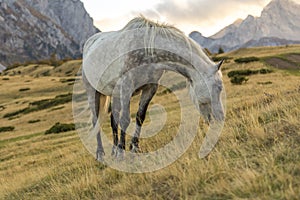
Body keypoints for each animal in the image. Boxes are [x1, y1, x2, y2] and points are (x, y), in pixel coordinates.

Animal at [81, 16, 224, 162]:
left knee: (113, 120)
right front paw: (122, 153)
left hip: (115, 94)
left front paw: (134, 148)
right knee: (95, 120)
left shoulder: (150, 88)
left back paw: (114, 151)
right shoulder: (127, 86)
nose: (220, 118)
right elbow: (125, 120)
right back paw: (100, 154)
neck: (147, 51)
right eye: (218, 87)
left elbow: (140, 117)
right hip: (93, 92)